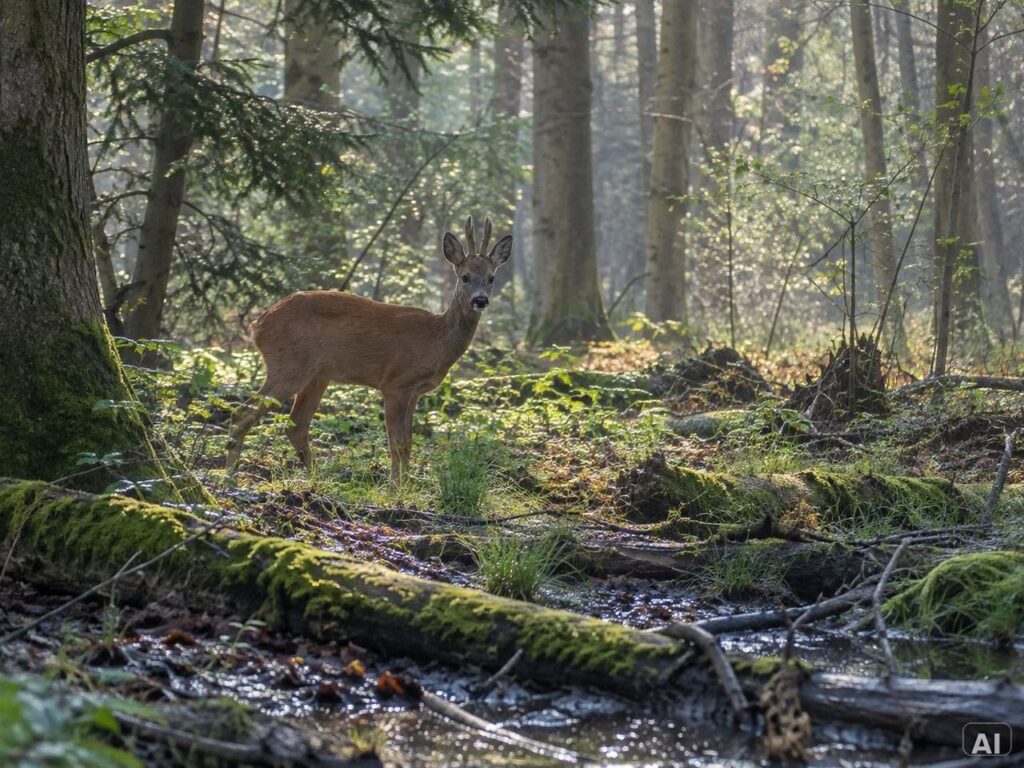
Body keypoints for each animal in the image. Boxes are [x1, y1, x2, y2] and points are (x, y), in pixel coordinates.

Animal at [225, 216, 512, 484]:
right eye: (465, 277)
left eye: (491, 278)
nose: (480, 300)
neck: (436, 338)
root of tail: (258, 325)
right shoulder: (395, 383)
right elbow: (397, 443)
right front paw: (396, 489)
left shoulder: (414, 392)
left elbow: (408, 443)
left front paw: (406, 485)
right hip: (289, 366)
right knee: (243, 413)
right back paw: (229, 476)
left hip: (317, 375)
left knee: (297, 423)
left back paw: (317, 479)